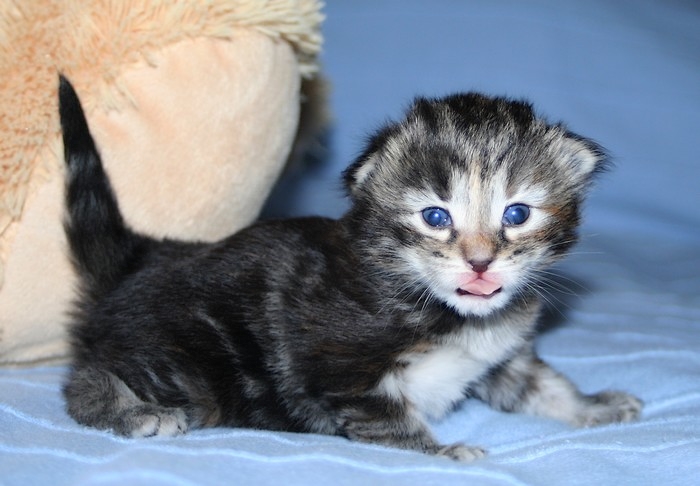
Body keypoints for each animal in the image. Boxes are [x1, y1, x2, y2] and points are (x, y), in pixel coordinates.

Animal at [59, 75, 642, 461]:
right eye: (435, 217)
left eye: (517, 215)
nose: (480, 262)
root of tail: (142, 257)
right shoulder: (340, 369)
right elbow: (390, 420)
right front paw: (444, 452)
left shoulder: (502, 354)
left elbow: (543, 386)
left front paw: (596, 406)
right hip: (188, 365)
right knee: (82, 381)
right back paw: (135, 412)